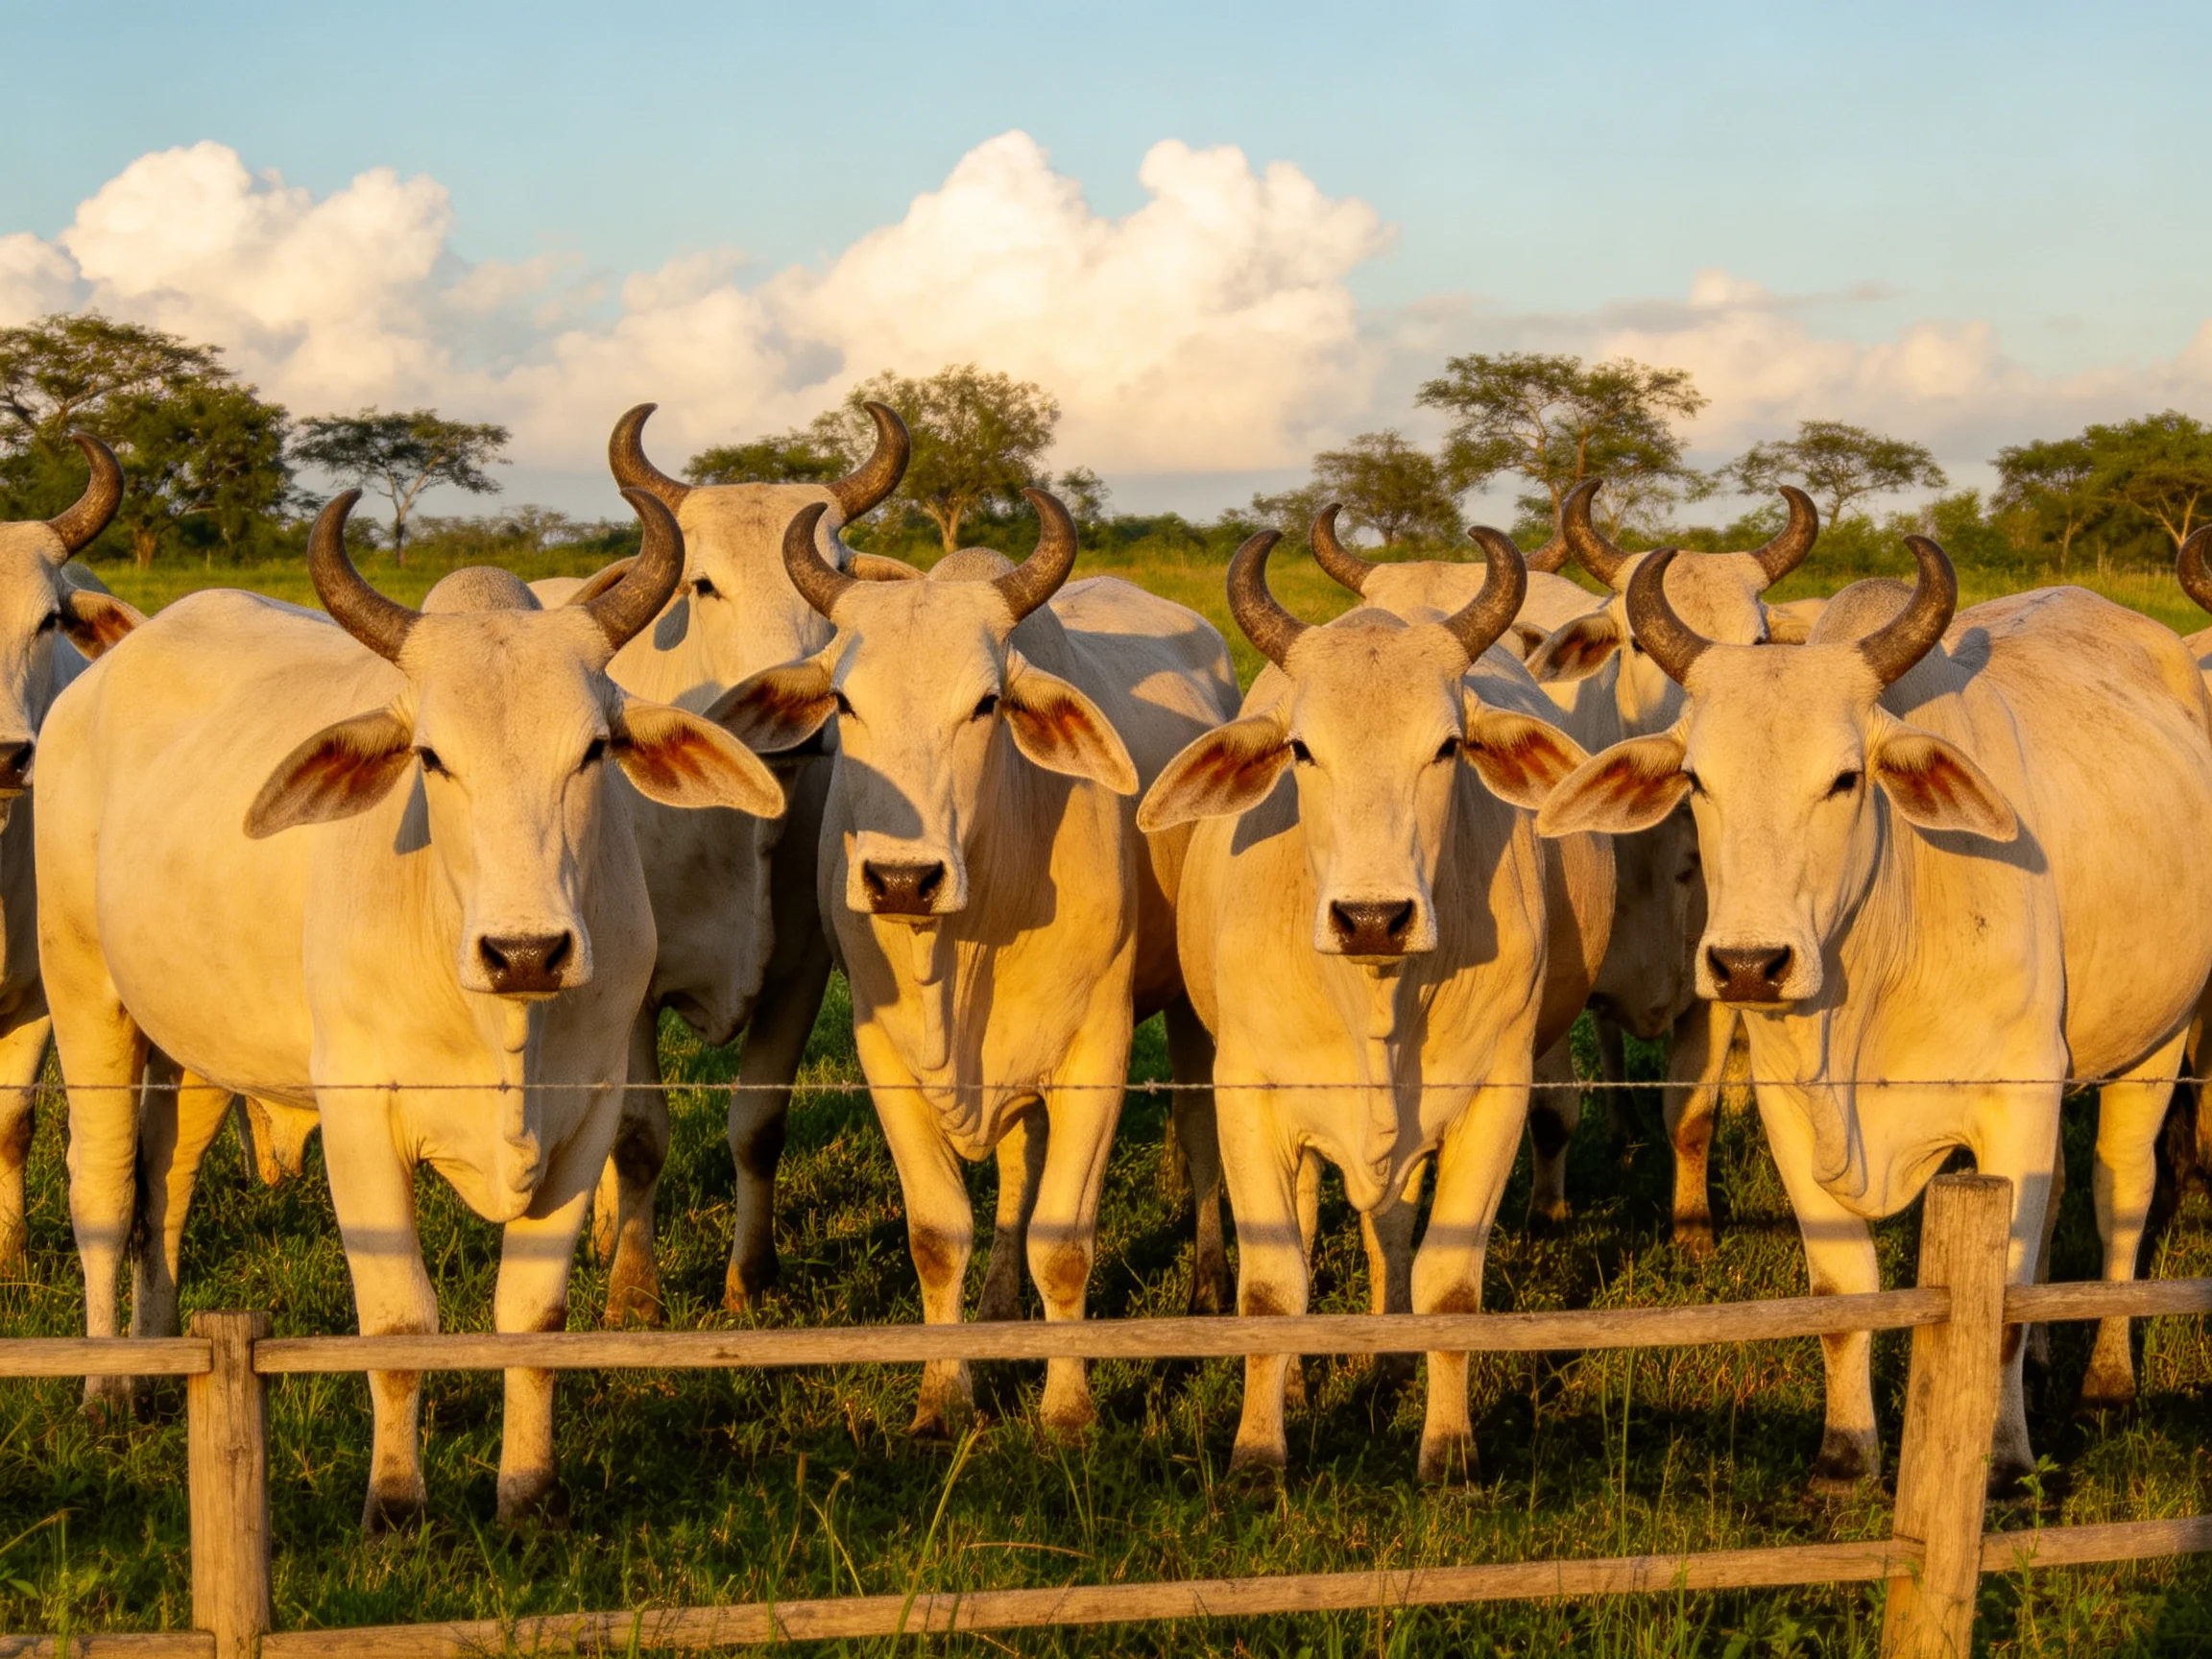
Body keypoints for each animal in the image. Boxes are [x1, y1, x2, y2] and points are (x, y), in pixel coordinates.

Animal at [36, 488, 784, 1528]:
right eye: (431, 758)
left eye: (594, 750)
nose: (526, 951)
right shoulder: (358, 1119)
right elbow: (397, 1321)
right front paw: (393, 1500)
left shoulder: (586, 1116)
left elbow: (533, 1318)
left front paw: (527, 1492)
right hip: (85, 995)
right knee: (105, 1188)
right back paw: (106, 1385)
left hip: (190, 1043)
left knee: (165, 1186)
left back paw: (158, 1355)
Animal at [715, 490, 1240, 1435]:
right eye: (844, 701)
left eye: (987, 703)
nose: (901, 878)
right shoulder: (882, 1055)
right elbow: (939, 1235)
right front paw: (942, 1395)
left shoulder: (1097, 1054)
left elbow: (1064, 1243)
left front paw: (1067, 1410)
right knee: (1020, 1164)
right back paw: (999, 1308)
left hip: (1185, 1008)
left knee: (1196, 1127)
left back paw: (1211, 1283)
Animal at [1139, 521, 1611, 1482]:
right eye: (1301, 749)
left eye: (1447, 747)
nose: (1371, 917)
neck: (1373, 995)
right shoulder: (1249, 1098)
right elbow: (1272, 1285)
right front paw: (1258, 1451)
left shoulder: (1493, 1099)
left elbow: (1449, 1285)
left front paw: (1449, 1451)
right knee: (1318, 1217)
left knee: (1390, 1225)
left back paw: (1387, 1352)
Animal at [1538, 536, 2212, 1485]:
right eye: (1697, 779)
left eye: (1846, 779)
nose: (1750, 965)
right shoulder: (1791, 1105)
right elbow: (1842, 1292)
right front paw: (1846, 1453)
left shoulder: (2017, 1098)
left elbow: (2000, 1306)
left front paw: (2001, 1460)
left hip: (2156, 1040)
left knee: (2122, 1189)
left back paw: (2107, 1378)